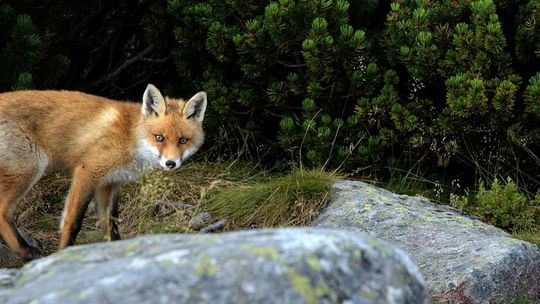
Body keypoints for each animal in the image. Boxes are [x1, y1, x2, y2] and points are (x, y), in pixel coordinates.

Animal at [0, 84, 207, 260]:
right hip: (28, 170)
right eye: (159, 138)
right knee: (3, 212)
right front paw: (64, 254)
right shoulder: (87, 171)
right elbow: (72, 222)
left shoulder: (109, 184)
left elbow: (111, 226)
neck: (130, 138)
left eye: (183, 140)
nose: (171, 163)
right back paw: (26, 252)